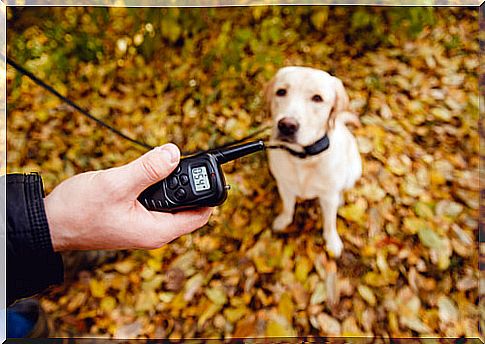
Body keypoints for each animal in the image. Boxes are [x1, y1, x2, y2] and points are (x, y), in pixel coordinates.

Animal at [264, 66, 360, 256]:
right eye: (281, 92)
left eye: (317, 98)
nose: (287, 125)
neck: (304, 158)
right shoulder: (285, 186)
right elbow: (288, 207)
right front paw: (283, 221)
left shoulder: (328, 197)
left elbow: (330, 222)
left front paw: (332, 241)